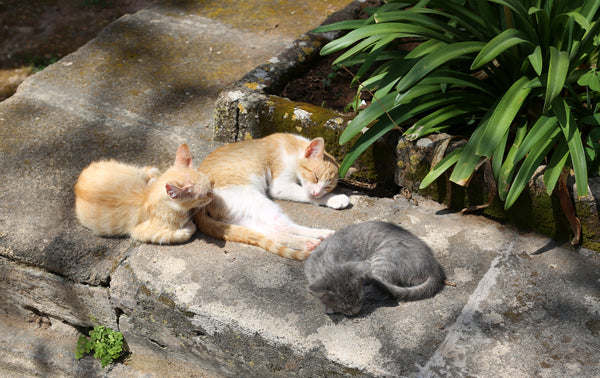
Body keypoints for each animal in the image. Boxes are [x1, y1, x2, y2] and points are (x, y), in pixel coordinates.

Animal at [74, 143, 212, 244]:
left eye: (210, 185)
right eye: (204, 195)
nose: (212, 194)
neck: (149, 195)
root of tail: (77, 184)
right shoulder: (140, 231)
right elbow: (171, 235)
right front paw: (188, 227)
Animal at [195, 133, 350, 260]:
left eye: (328, 187)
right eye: (316, 177)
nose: (317, 192)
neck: (294, 146)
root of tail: (198, 211)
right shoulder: (280, 186)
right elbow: (307, 195)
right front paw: (335, 198)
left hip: (238, 215)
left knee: (268, 232)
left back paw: (315, 240)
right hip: (256, 201)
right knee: (283, 226)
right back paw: (312, 240)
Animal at [304, 221, 446, 316]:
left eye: (359, 300)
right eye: (343, 307)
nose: (356, 312)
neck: (328, 259)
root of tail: (433, 267)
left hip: (383, 258)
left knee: (385, 288)